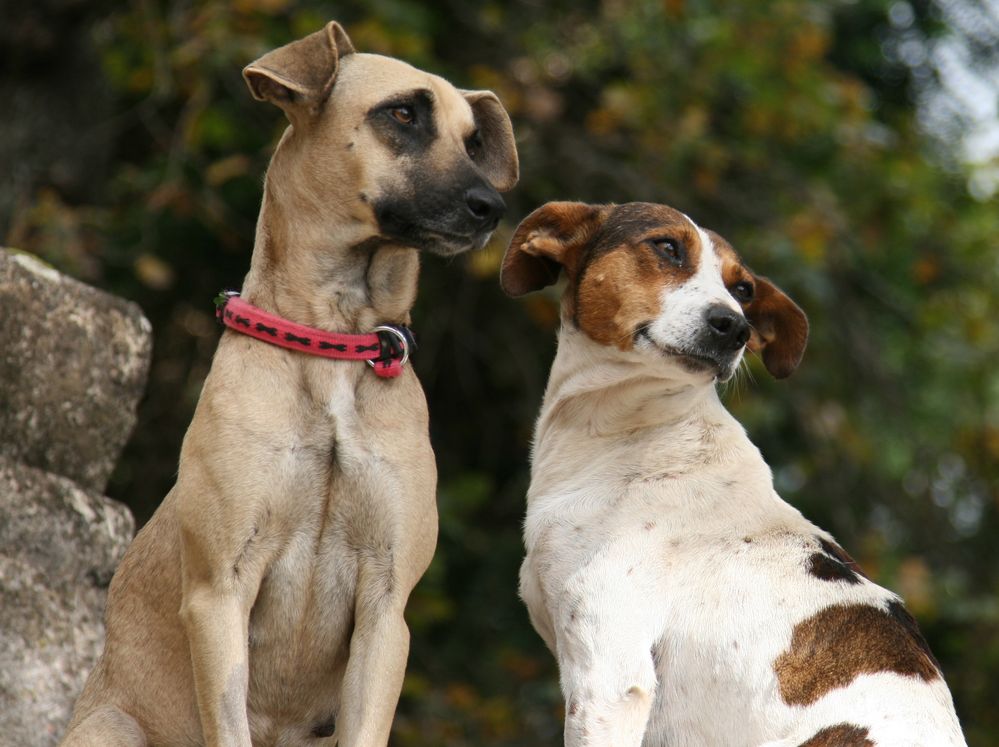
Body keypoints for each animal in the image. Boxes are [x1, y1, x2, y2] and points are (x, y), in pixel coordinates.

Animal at [64, 20, 516, 744]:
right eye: (402, 114)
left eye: (473, 140)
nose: (490, 206)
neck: (332, 341)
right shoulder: (220, 593)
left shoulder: (386, 612)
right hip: (111, 726)